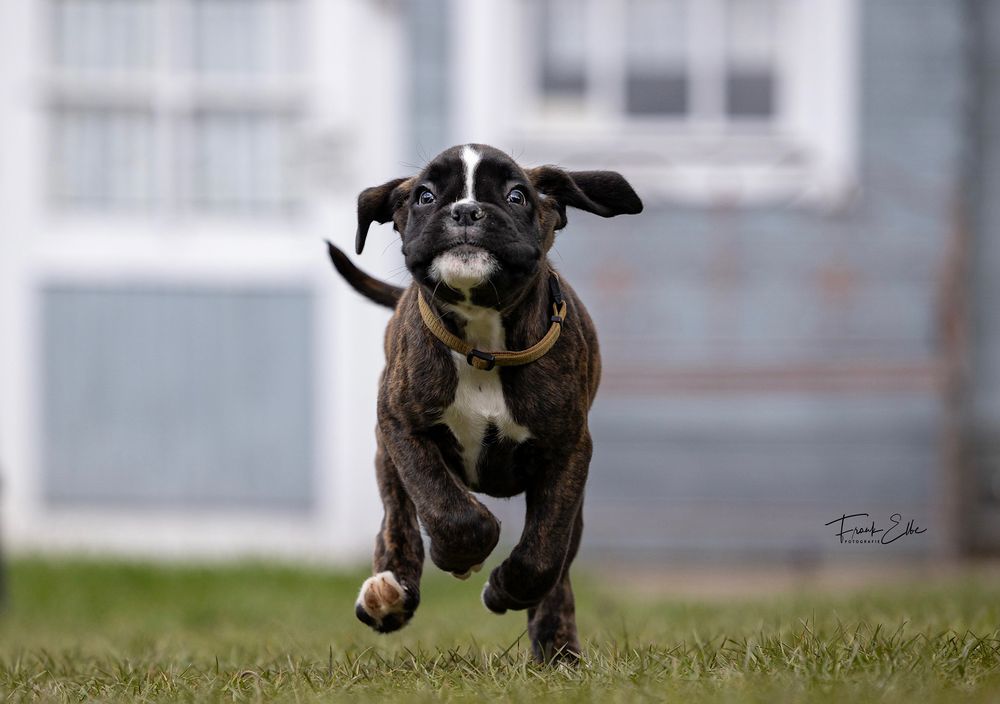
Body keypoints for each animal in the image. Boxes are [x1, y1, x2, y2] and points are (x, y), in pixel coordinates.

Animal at [324, 143, 644, 660]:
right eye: (425, 196)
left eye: (517, 196)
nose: (466, 211)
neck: (483, 342)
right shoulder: (401, 426)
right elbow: (445, 506)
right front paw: (458, 554)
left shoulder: (569, 451)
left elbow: (543, 553)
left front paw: (506, 589)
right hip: (384, 455)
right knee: (397, 517)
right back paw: (390, 594)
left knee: (558, 568)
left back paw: (557, 650)